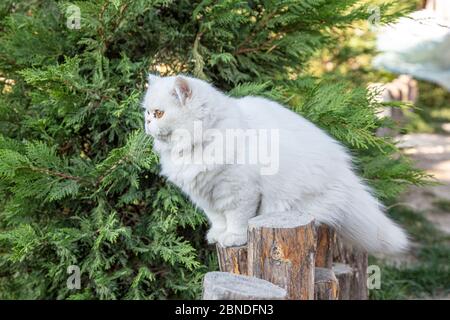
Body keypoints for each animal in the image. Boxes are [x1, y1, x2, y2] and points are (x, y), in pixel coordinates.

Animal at [142, 74, 410, 252]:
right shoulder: (206, 196)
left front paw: (233, 238)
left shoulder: (239, 191)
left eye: (159, 114)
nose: (147, 123)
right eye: (147, 112)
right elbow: (218, 219)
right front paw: (217, 235)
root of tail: (346, 178)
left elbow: (236, 219)